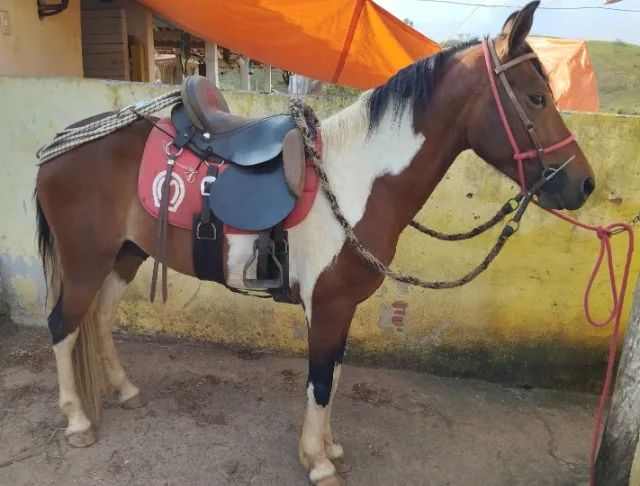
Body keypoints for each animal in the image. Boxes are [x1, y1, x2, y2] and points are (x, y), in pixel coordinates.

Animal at [34, 2, 595, 484]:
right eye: (536, 97)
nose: (584, 184)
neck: (355, 180)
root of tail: (61, 143)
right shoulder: (325, 305)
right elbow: (322, 381)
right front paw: (318, 462)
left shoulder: (341, 307)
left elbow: (335, 377)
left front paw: (328, 448)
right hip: (86, 261)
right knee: (63, 326)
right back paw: (78, 422)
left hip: (125, 255)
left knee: (98, 320)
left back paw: (125, 390)